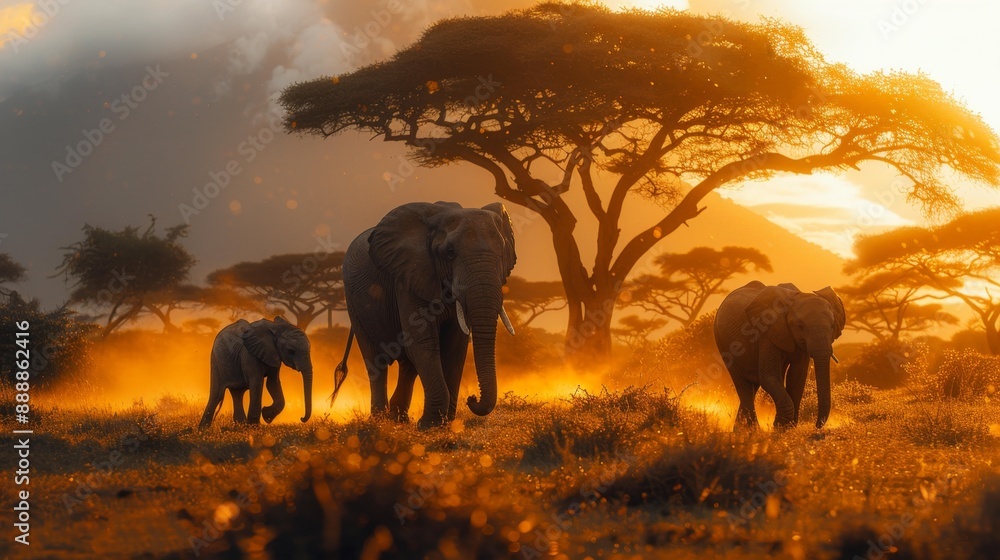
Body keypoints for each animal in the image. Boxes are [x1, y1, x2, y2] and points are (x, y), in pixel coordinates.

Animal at [333, 201, 516, 429]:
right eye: (450, 252)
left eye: (502, 252)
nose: (472, 398)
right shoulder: (407, 278)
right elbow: (423, 342)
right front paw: (430, 425)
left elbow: (455, 346)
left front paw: (445, 424)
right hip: (353, 302)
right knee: (376, 360)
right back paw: (380, 420)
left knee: (407, 364)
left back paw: (398, 418)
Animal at [713, 281, 846, 430]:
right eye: (800, 327)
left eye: (832, 326)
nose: (817, 425)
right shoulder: (767, 333)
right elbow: (769, 377)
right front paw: (779, 426)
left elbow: (797, 377)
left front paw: (788, 427)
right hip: (722, 341)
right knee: (744, 385)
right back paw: (750, 431)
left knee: (753, 386)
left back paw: (741, 430)